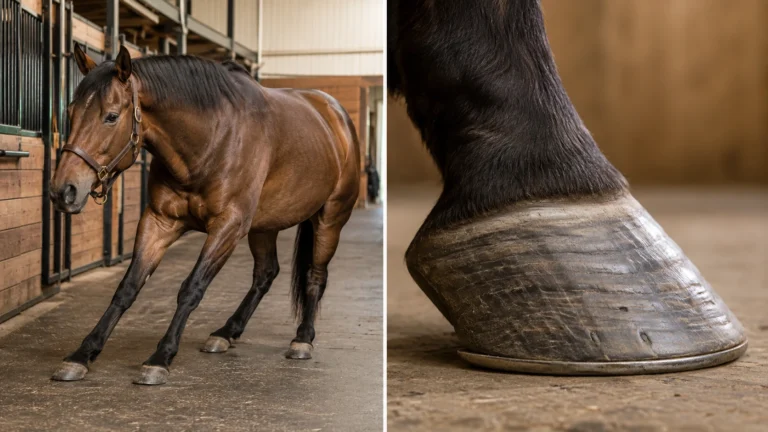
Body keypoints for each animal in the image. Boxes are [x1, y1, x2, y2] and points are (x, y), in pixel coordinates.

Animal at [48, 44, 360, 385]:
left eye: (111, 116)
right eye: (70, 112)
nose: (63, 190)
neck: (212, 140)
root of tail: (336, 115)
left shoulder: (228, 227)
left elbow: (191, 288)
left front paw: (161, 357)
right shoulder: (159, 221)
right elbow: (127, 287)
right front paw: (83, 354)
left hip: (329, 219)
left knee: (315, 275)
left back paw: (302, 339)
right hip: (264, 226)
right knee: (266, 273)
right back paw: (227, 332)